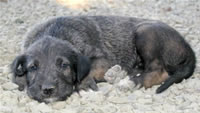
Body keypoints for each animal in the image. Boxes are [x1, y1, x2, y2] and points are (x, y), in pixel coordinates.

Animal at [10, 15, 195, 102]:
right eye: (33, 68)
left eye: (64, 65)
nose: (48, 90)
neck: (56, 32)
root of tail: (188, 48)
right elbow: (17, 79)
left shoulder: (102, 59)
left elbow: (89, 69)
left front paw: (85, 85)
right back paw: (125, 73)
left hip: (145, 32)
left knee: (159, 70)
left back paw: (130, 81)